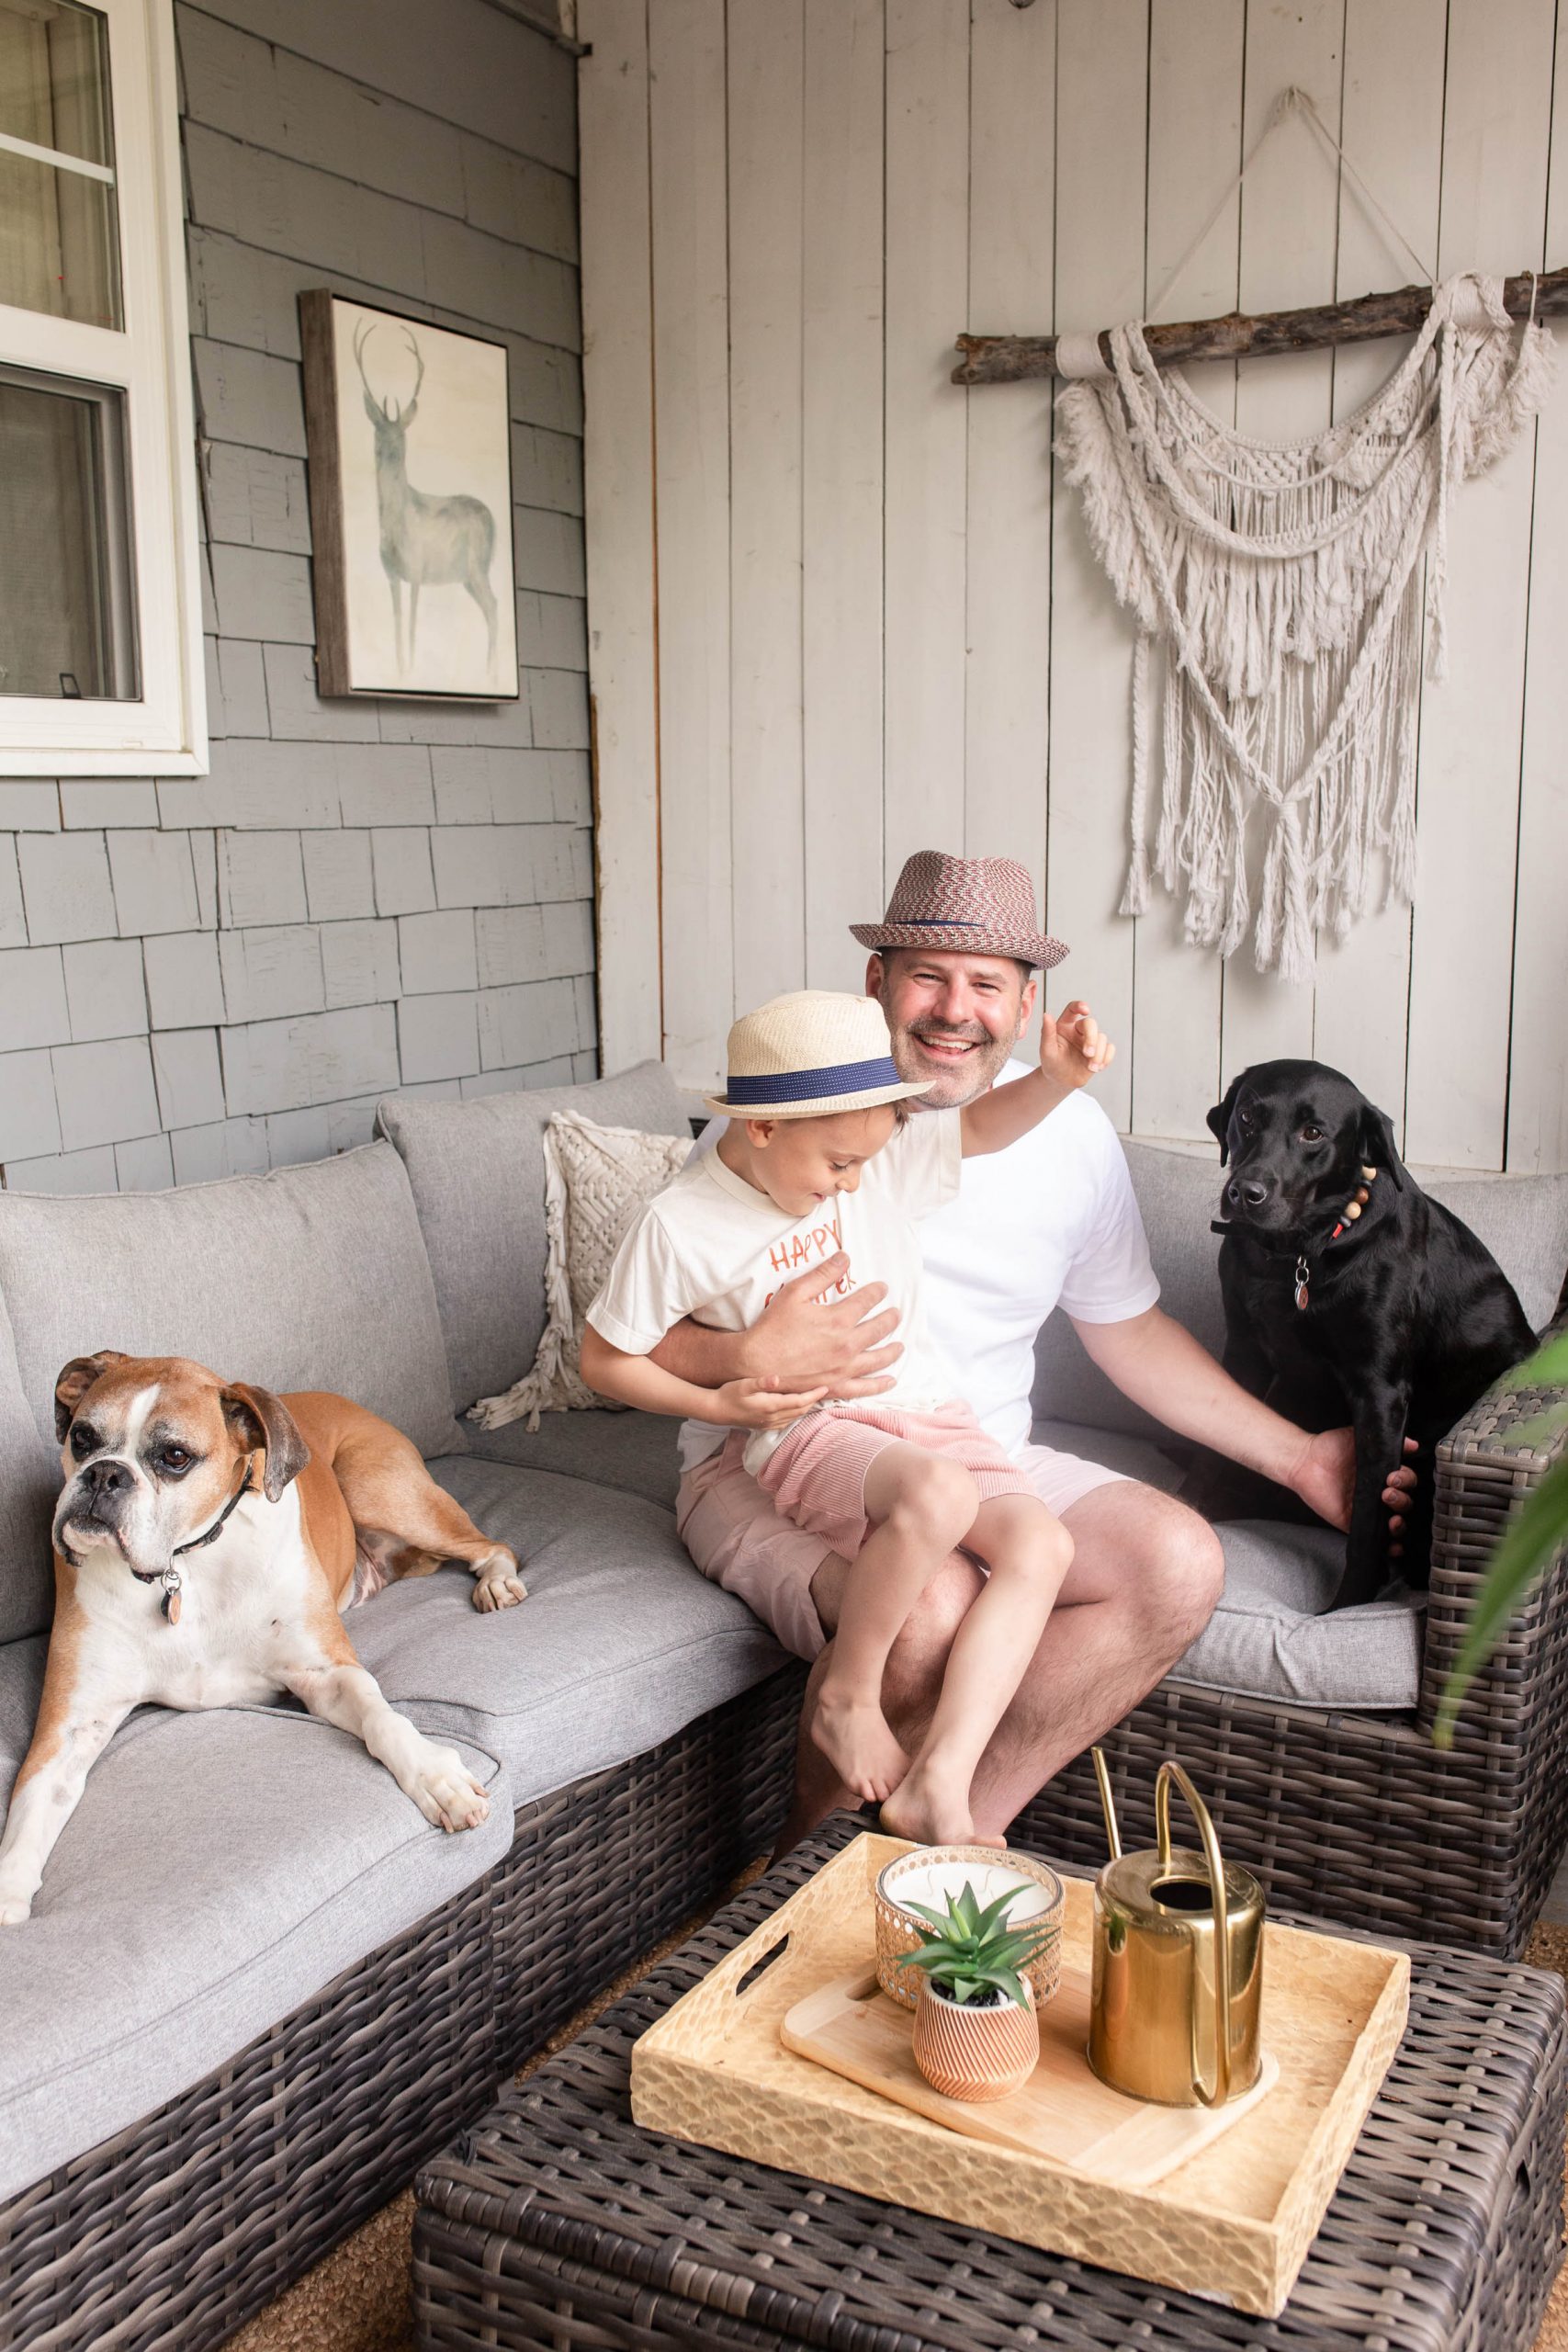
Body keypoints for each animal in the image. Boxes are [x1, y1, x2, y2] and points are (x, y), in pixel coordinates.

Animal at [0, 1354, 531, 1918]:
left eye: (174, 1457)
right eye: (82, 1437)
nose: (104, 1473)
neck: (184, 1565)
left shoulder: (328, 1674)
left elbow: (383, 1717)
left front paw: (434, 1775)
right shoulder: (69, 1729)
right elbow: (29, 1810)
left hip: (380, 1491)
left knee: (492, 1546)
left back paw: (498, 1582)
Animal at [1203, 1072, 1532, 1609]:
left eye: (1313, 1133)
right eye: (1247, 1117)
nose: (1244, 1192)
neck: (1300, 1256)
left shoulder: (1380, 1392)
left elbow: (1369, 1514)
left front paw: (1348, 1604)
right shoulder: (1243, 1356)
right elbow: (1211, 1450)